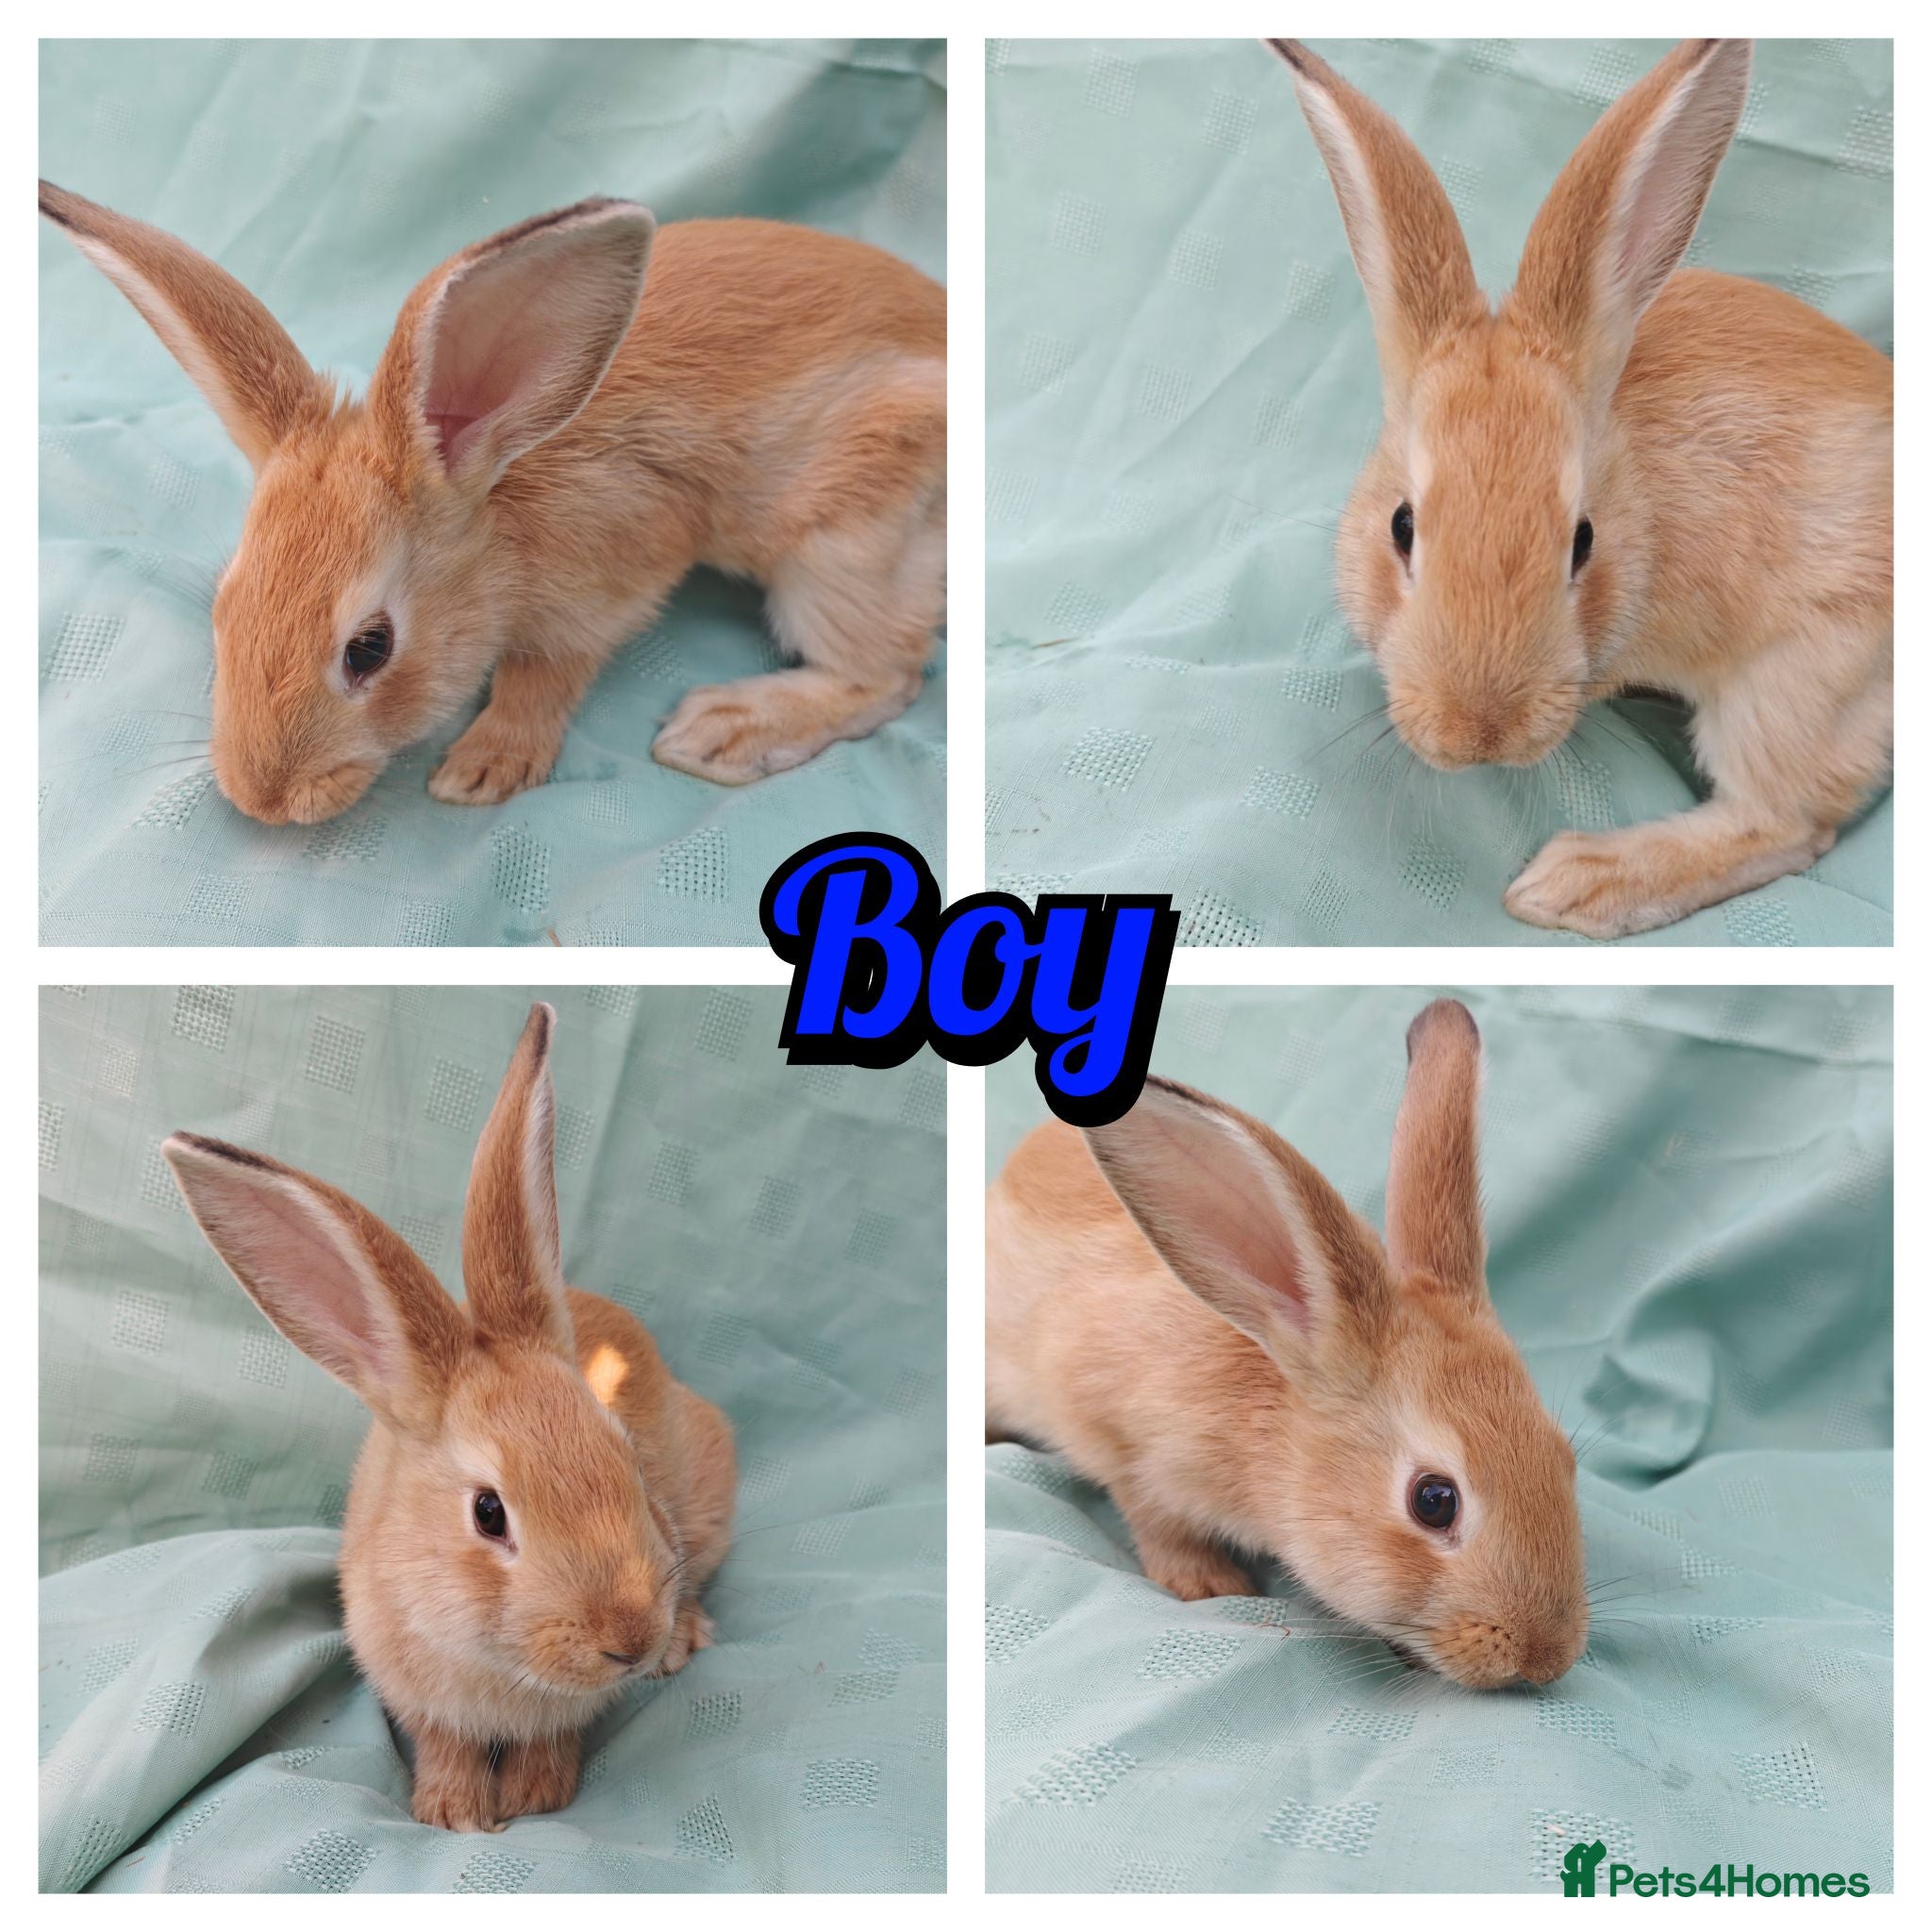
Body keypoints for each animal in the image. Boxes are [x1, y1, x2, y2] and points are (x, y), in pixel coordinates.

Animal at [39, 182, 946, 823]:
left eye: (369, 649)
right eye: (223, 608)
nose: (260, 800)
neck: (495, 509)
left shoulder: (605, 588)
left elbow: (543, 676)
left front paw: (483, 768)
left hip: (847, 542)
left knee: (885, 676)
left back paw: (723, 730)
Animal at [163, 1002, 736, 1831]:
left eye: (628, 1460)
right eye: (488, 1513)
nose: (629, 1638)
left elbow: (550, 1740)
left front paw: (533, 1798)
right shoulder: (417, 1693)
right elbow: (447, 1744)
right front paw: (452, 1812)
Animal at [986, 998, 1587, 1689]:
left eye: (1563, 1458)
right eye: (1434, 1502)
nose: (1546, 1656)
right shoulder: (1123, 1439)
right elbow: (1153, 1518)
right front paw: (1210, 1584)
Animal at [1267, 40, 1891, 938]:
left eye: (1583, 541)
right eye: (1401, 526)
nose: (1480, 733)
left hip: (1799, 678)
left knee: (1786, 823)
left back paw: (1577, 882)